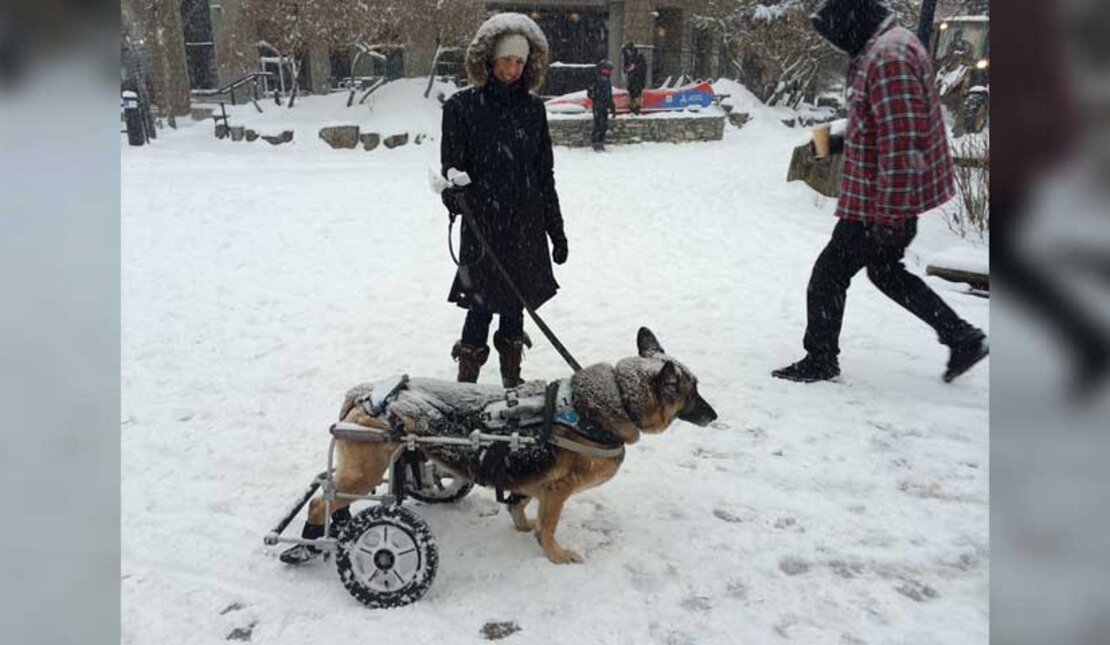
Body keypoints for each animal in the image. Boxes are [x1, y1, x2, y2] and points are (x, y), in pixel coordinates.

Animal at [284, 326, 719, 563]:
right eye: (693, 392)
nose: (715, 415)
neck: (601, 406)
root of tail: (366, 393)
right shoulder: (558, 491)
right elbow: (549, 525)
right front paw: (554, 553)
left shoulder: (532, 479)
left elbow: (521, 503)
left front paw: (523, 526)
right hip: (365, 471)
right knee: (321, 501)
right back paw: (307, 545)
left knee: (335, 494)